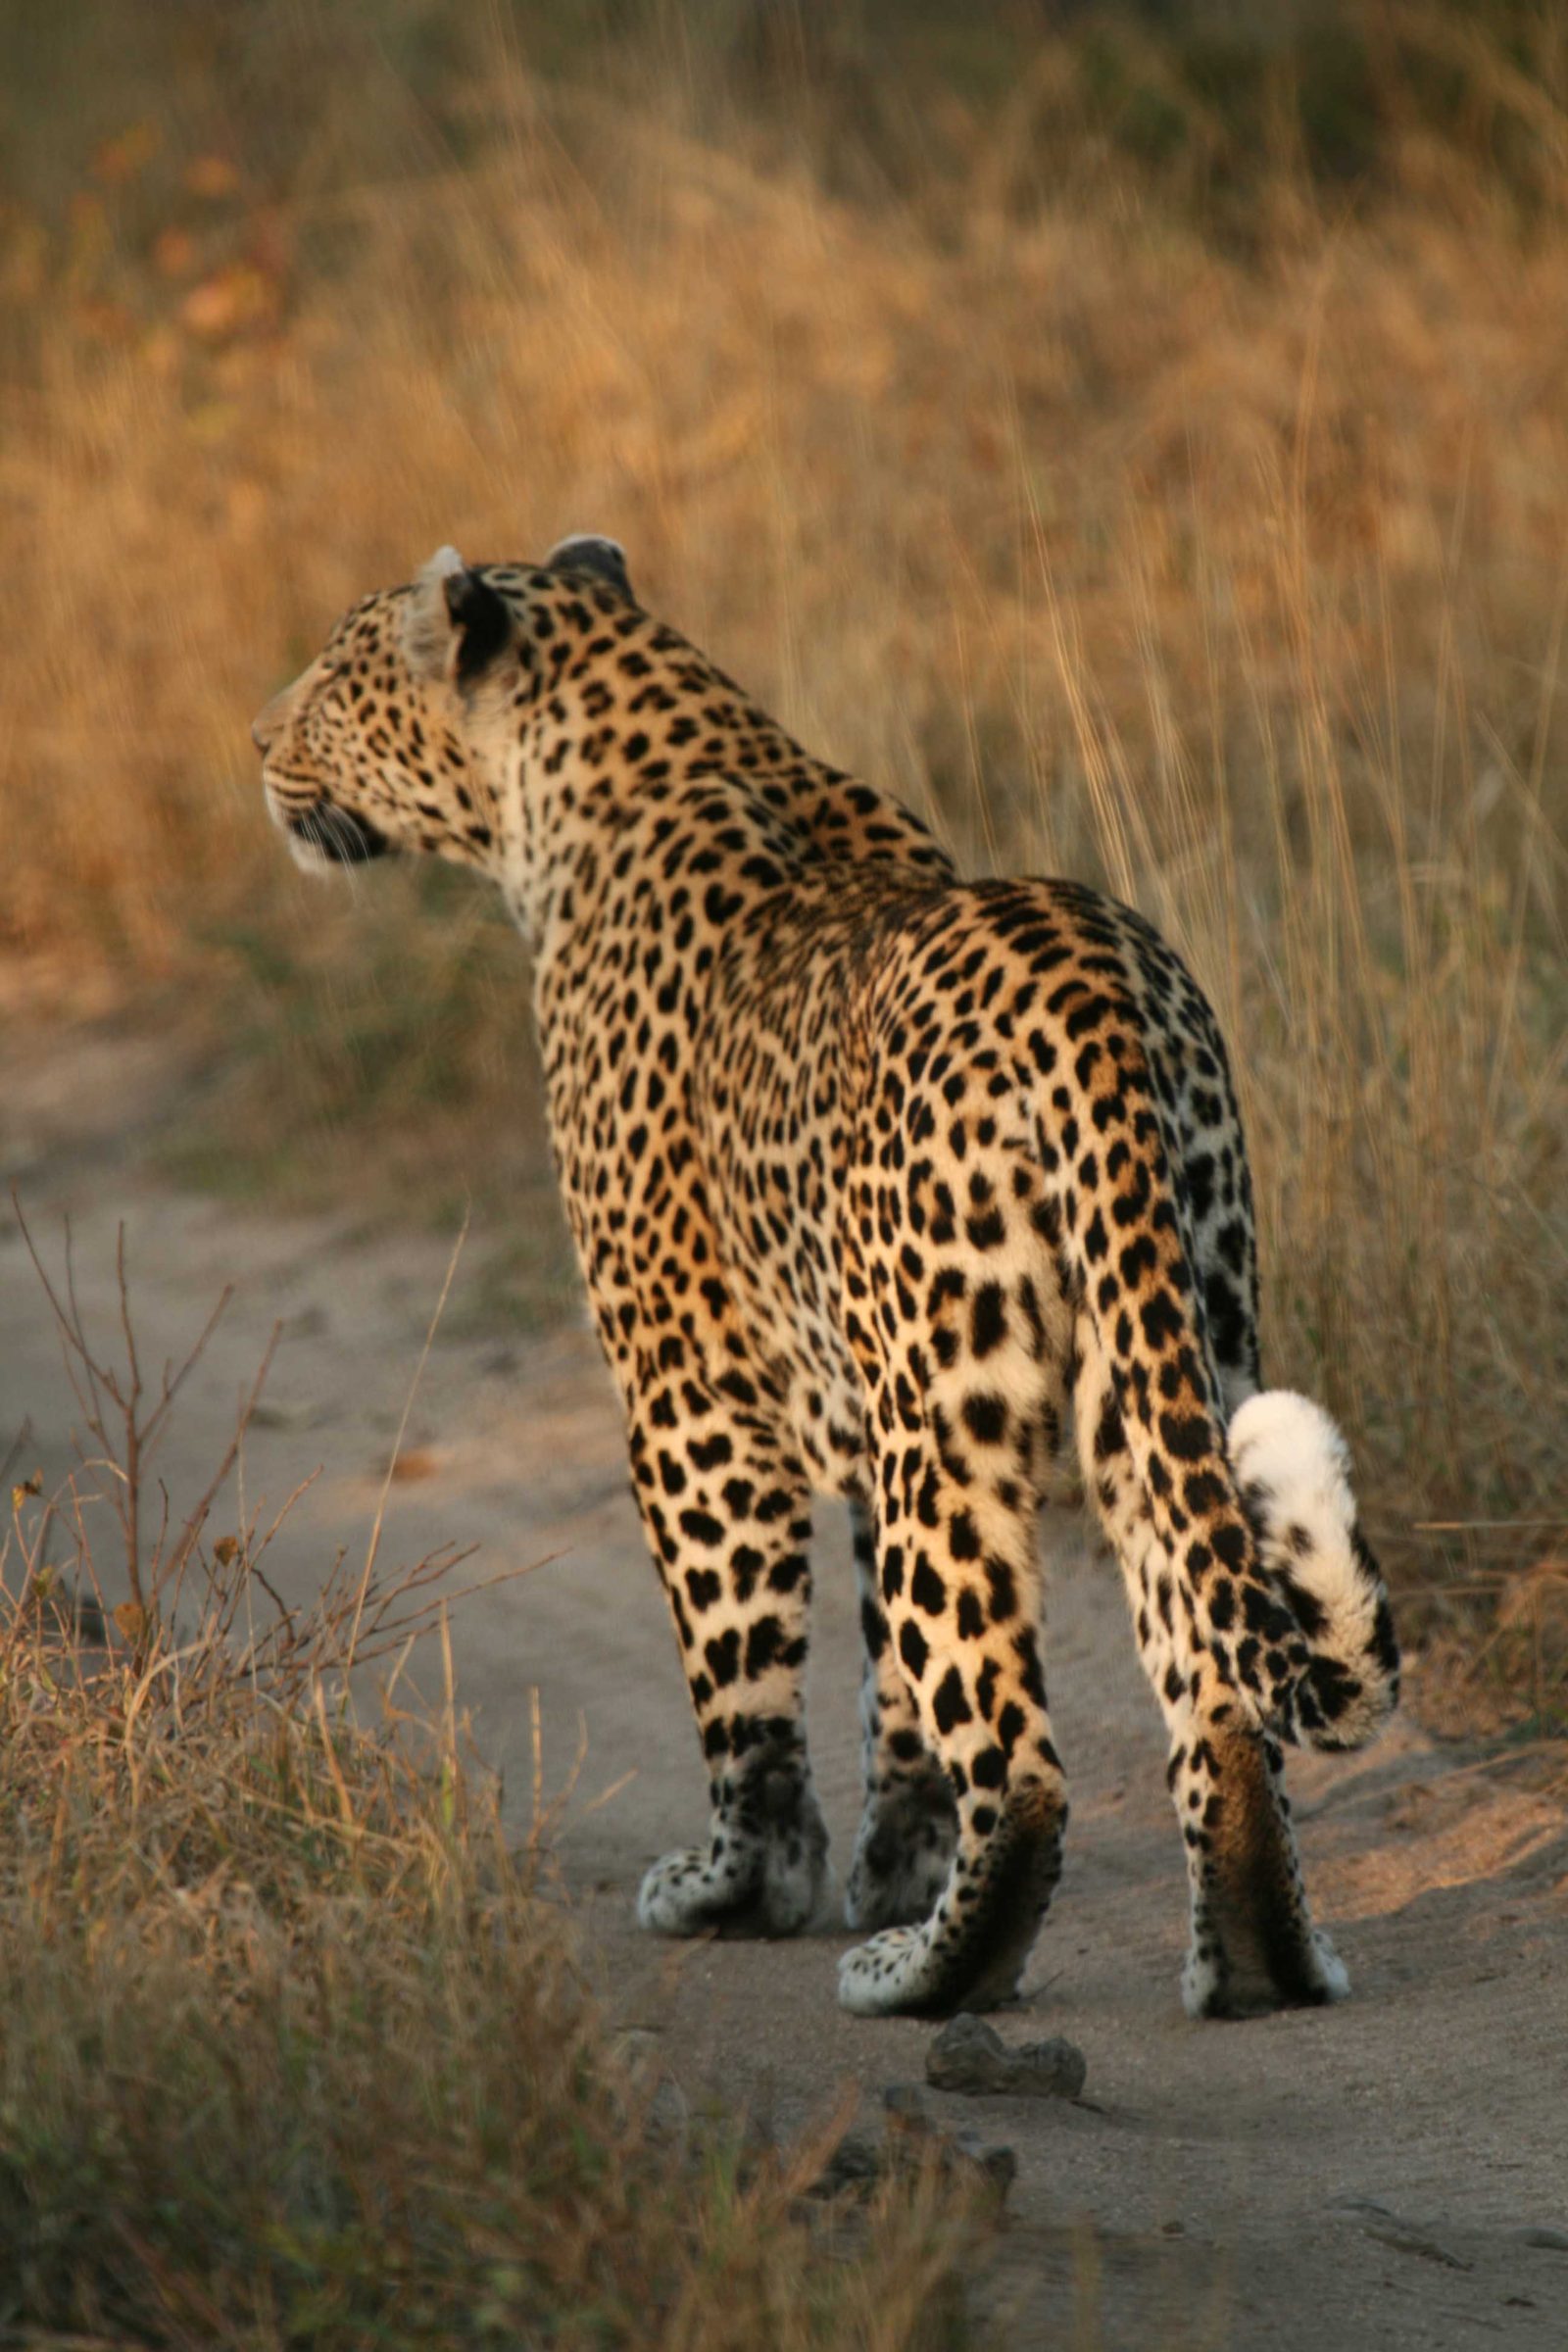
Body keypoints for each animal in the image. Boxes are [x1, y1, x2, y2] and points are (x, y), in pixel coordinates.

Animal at [254, 534, 1399, 2020]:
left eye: (340, 674)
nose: (258, 737)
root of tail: (1092, 977)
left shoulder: (686, 1390)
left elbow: (736, 1658)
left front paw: (745, 1885)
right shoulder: (856, 1386)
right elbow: (889, 1695)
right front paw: (893, 1862)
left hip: (955, 1423)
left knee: (1023, 1762)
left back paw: (923, 1976)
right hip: (1167, 1347)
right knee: (1210, 1676)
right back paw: (1256, 1959)